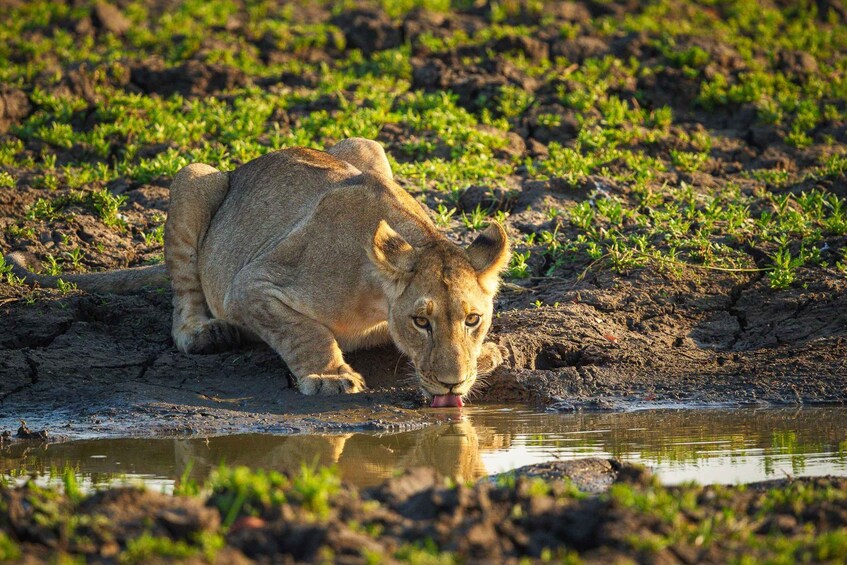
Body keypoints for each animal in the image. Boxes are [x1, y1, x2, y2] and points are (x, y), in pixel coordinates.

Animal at [6, 138, 510, 406]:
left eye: (473, 319)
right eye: (420, 321)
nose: (453, 382)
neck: (377, 300)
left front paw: (485, 356)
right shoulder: (251, 284)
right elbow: (305, 331)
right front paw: (329, 377)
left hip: (364, 144)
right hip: (195, 177)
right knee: (183, 297)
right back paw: (206, 333)